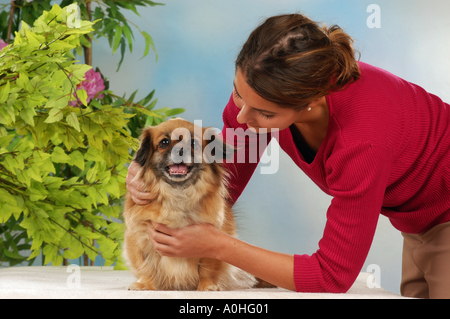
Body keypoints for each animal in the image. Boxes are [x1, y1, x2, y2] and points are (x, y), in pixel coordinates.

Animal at [123, 119, 264, 292]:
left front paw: (208, 286)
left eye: (193, 143)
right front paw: (144, 284)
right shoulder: (138, 234)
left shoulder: (214, 240)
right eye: (164, 142)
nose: (180, 150)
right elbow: (144, 265)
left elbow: (208, 268)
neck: (177, 194)